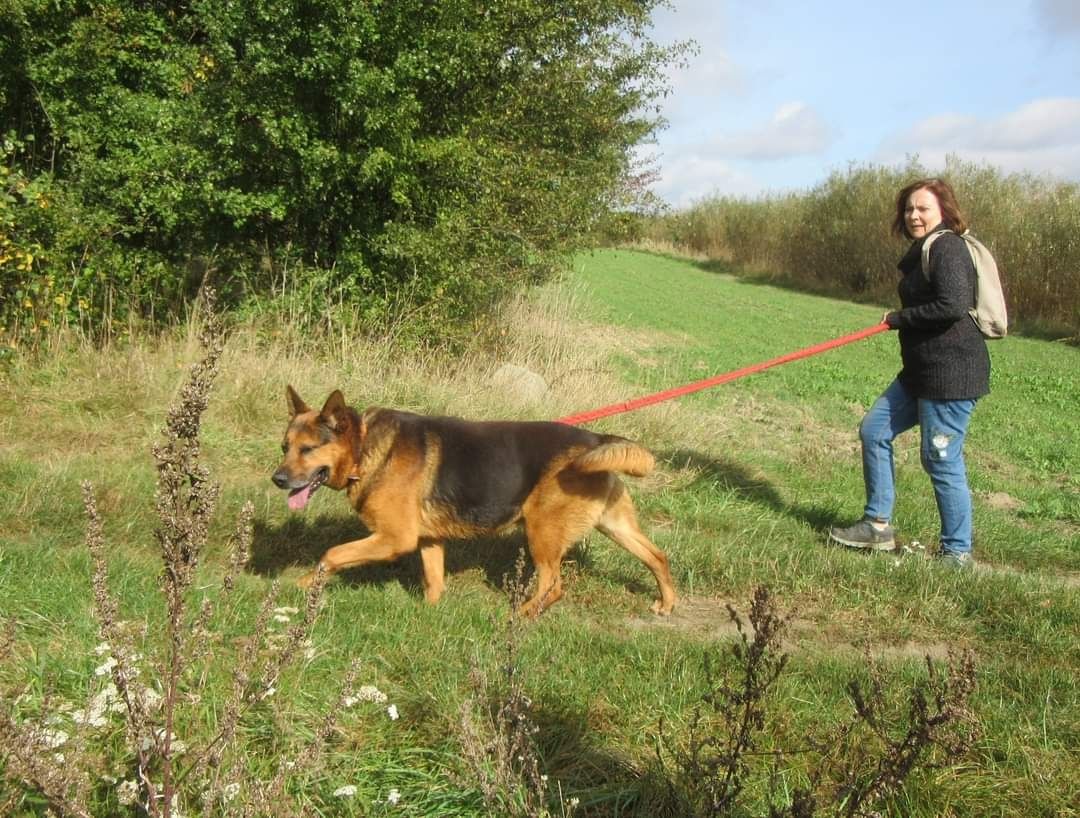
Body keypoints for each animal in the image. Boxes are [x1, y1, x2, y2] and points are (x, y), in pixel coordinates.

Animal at [272, 386, 673, 613]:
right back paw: (668, 603)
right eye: (284, 447)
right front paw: (428, 615)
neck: (365, 445)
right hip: (614, 526)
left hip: (541, 534)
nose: (277, 479)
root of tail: (595, 439)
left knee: (553, 586)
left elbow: (331, 555)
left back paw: (519, 616)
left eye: (308, 449)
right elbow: (434, 582)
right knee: (658, 557)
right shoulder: (429, 540)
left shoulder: (394, 539)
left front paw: (302, 586)